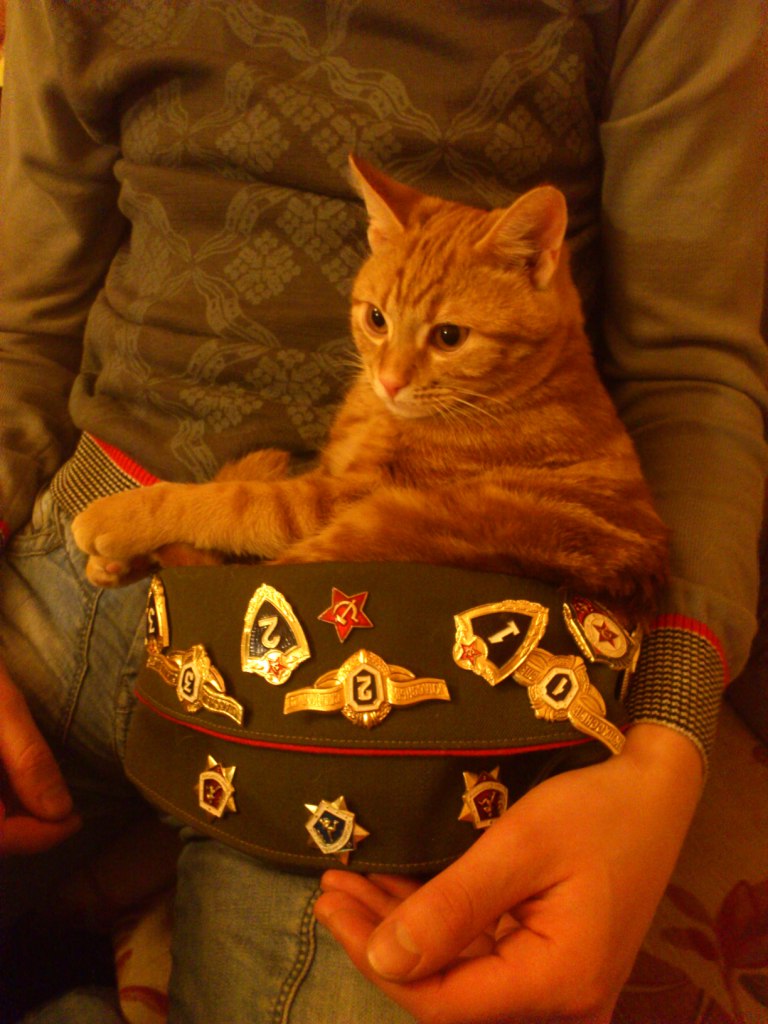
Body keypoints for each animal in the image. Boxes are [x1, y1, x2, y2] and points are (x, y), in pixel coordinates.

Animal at [72, 155, 669, 619]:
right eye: (377, 319)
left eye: (449, 337)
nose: (390, 380)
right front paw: (120, 554)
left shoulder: (334, 498)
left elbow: (228, 504)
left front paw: (123, 518)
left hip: (368, 526)